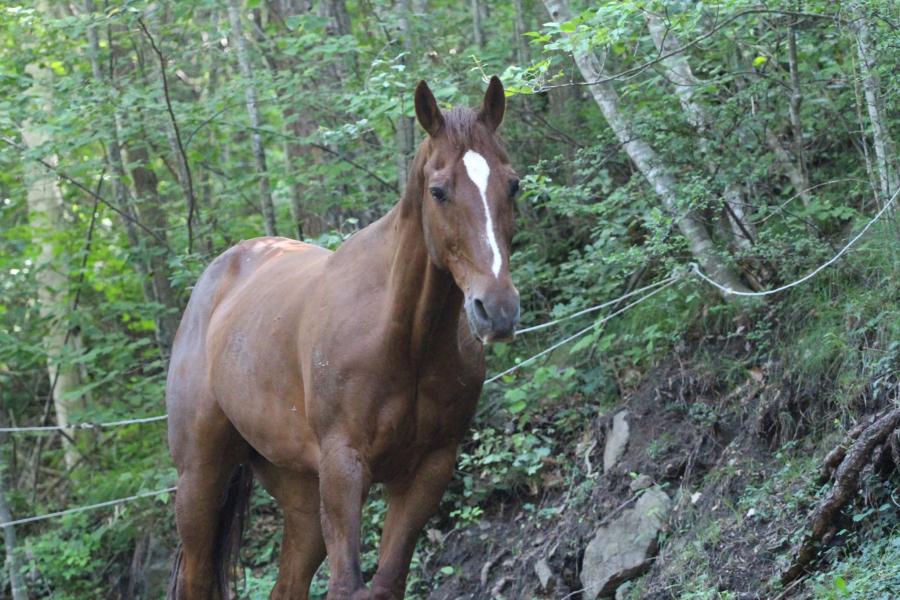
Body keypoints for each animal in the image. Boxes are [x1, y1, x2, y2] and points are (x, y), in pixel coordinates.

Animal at [168, 78, 520, 600]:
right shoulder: (343, 468)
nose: (496, 309)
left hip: (299, 496)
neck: (403, 339)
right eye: (438, 191)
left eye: (513, 184)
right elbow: (347, 586)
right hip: (200, 479)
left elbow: (387, 583)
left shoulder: (428, 471)